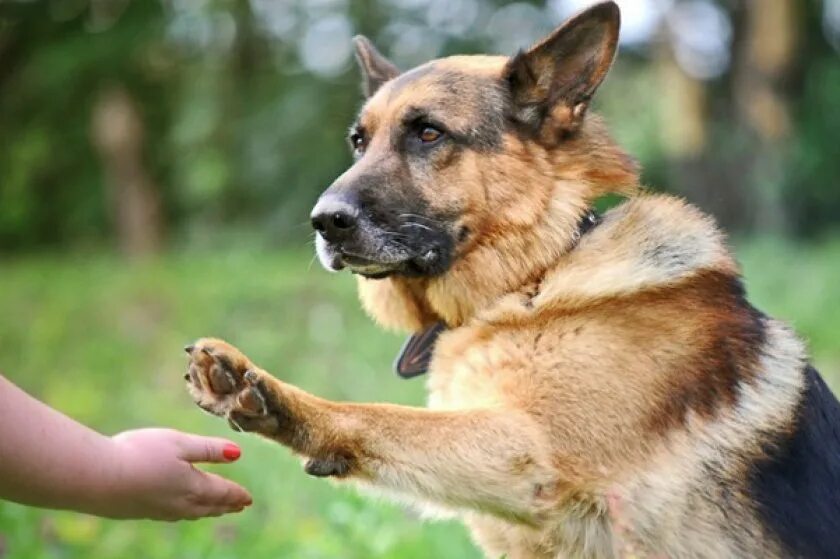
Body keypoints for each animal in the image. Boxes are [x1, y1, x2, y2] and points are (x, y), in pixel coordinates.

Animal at [182, 2, 840, 556]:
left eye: (429, 133)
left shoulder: (527, 452)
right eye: (359, 142)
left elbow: (377, 416)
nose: (323, 221)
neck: (538, 274)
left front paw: (271, 396)